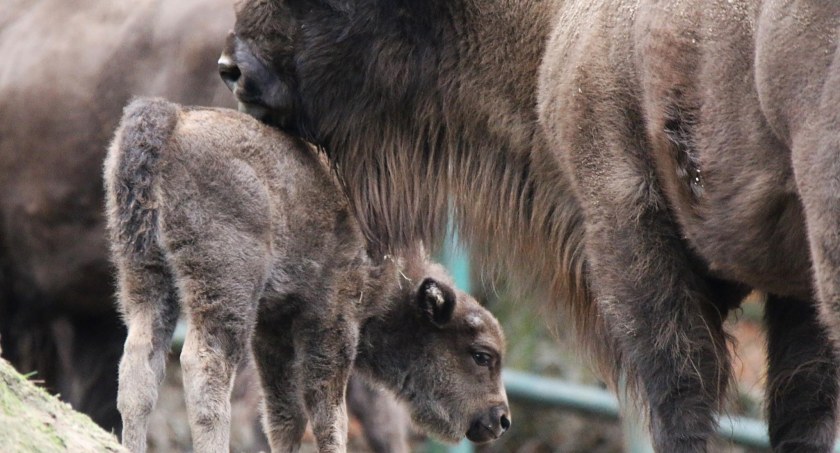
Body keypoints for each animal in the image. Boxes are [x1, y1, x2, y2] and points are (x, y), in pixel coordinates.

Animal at [101, 99, 508, 452]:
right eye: (482, 355)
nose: (501, 419)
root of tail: (175, 121)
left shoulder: (273, 333)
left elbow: (285, 417)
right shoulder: (333, 324)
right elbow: (328, 414)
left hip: (145, 277)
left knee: (139, 366)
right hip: (224, 293)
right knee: (204, 367)